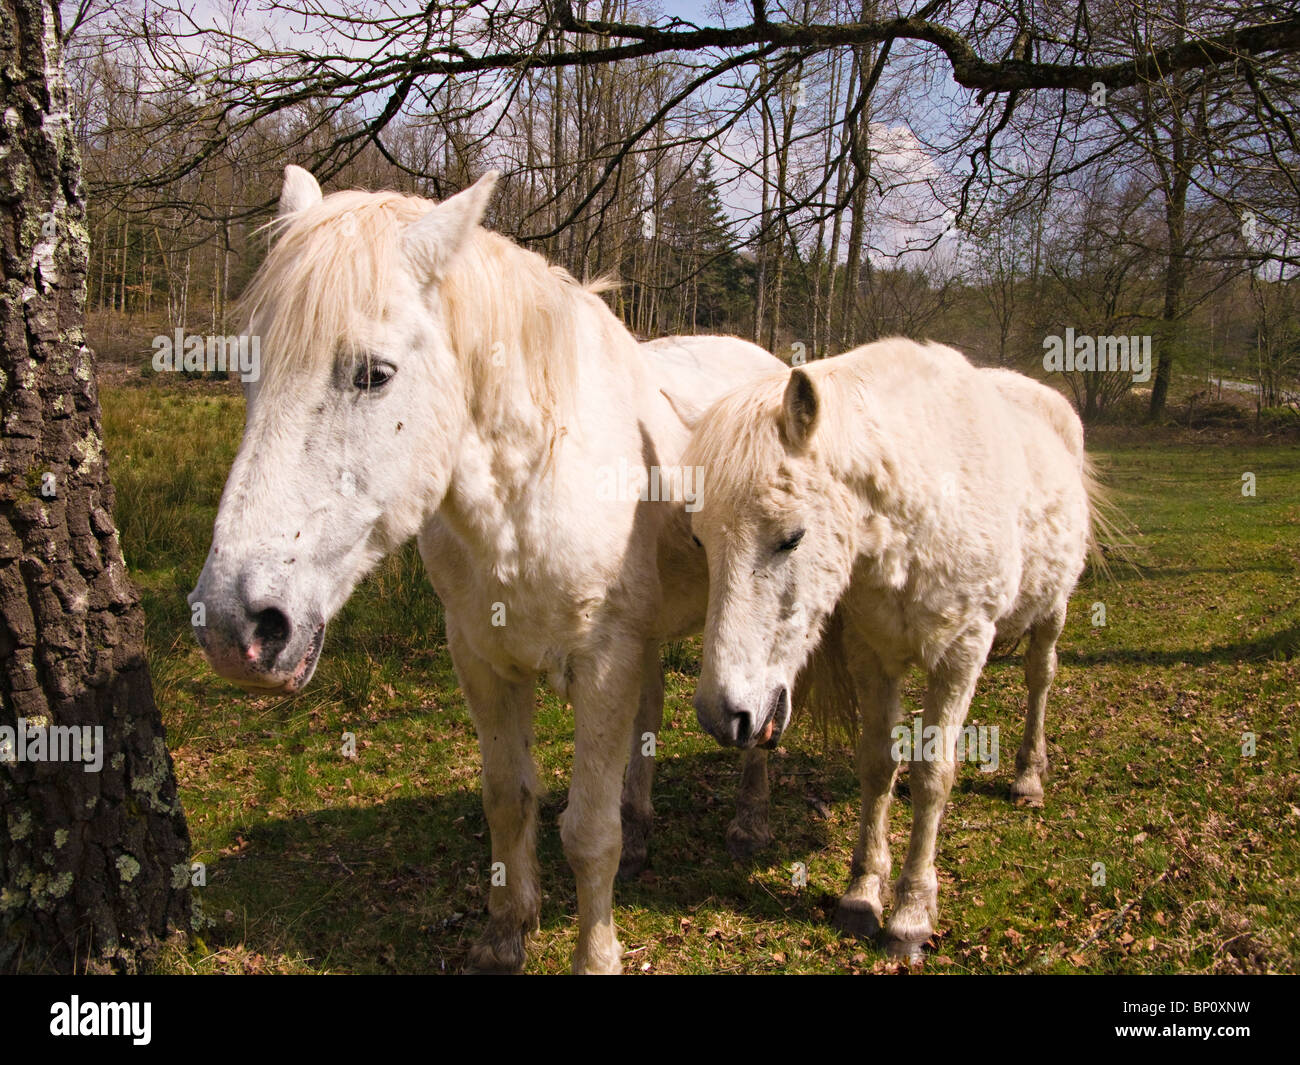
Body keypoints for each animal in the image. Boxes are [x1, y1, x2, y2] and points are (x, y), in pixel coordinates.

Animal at [188, 169, 780, 972]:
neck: (530, 487)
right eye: (248, 370)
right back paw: (643, 824)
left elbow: (587, 832)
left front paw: (596, 954)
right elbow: (508, 798)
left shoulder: (603, 664)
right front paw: (505, 932)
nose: (235, 626)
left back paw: (750, 818)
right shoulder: (481, 657)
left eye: (373, 374)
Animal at [681, 340, 1097, 957]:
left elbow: (934, 775)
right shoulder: (871, 654)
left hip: (1052, 611)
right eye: (700, 540)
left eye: (791, 538)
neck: (924, 509)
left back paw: (1028, 776)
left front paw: (911, 914)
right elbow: (879, 764)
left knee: (1039, 678)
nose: (719, 715)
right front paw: (861, 894)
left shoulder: (960, 655)